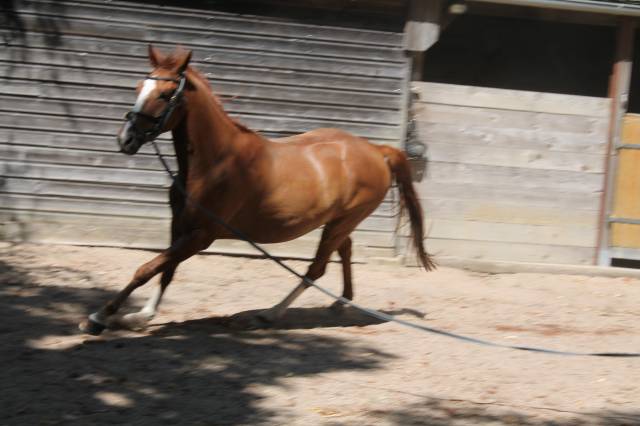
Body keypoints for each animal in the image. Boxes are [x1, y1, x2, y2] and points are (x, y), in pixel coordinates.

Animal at [79, 45, 435, 335]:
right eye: (139, 87)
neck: (216, 161)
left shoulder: (201, 235)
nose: (125, 139)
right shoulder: (179, 225)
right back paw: (341, 302)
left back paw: (267, 315)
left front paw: (99, 317)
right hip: (337, 222)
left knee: (316, 268)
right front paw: (142, 315)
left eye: (166, 95)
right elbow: (166, 270)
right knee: (344, 251)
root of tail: (377, 150)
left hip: (343, 221)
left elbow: (147, 268)